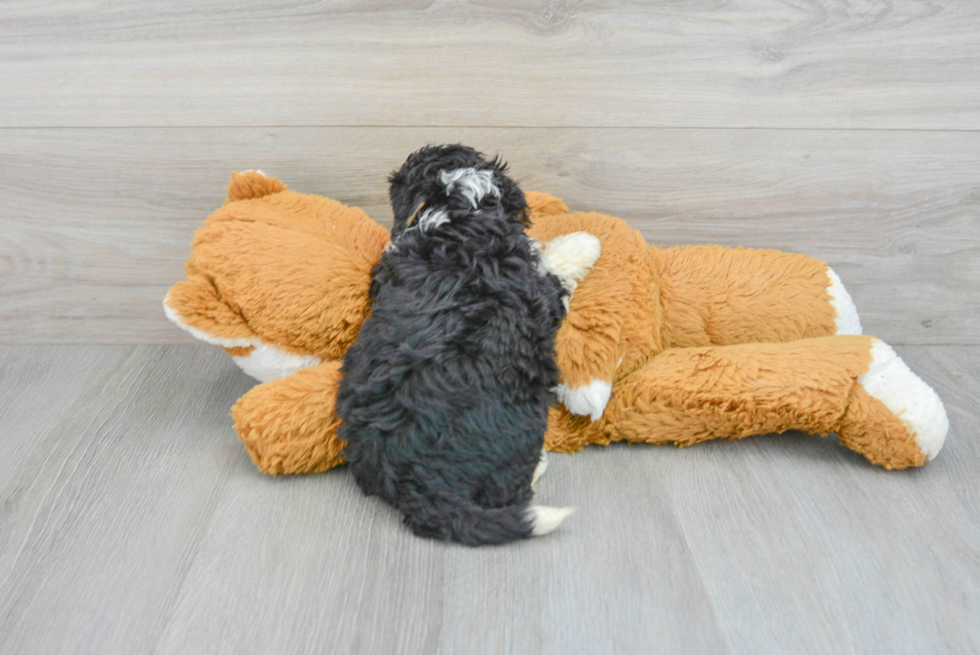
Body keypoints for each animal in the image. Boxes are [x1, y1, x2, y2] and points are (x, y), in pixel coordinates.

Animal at [334, 145, 572, 548]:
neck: (460, 212)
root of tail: (419, 486)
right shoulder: (544, 294)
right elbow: (556, 269)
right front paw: (583, 243)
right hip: (522, 428)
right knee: (511, 492)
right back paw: (539, 464)